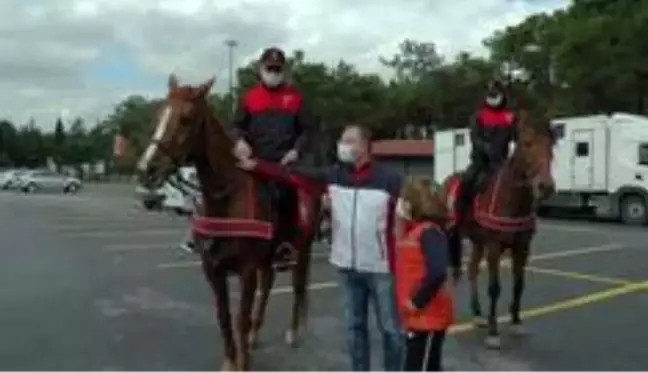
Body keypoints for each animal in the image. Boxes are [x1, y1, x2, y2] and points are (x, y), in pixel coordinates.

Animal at [135, 74, 322, 370]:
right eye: (159, 115)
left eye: (186, 118)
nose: (146, 169)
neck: (226, 199)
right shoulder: (213, 271)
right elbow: (223, 317)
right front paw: (230, 362)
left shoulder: (246, 271)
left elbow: (239, 319)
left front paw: (243, 364)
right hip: (268, 258)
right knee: (268, 285)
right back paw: (257, 333)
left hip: (302, 250)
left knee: (298, 287)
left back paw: (293, 332)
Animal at [442, 110, 556, 348]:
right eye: (527, 143)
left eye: (551, 145)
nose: (545, 186)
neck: (512, 200)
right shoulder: (494, 247)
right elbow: (495, 288)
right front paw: (493, 331)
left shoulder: (522, 249)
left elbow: (518, 285)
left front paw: (516, 321)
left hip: (477, 241)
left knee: (472, 270)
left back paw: (477, 313)